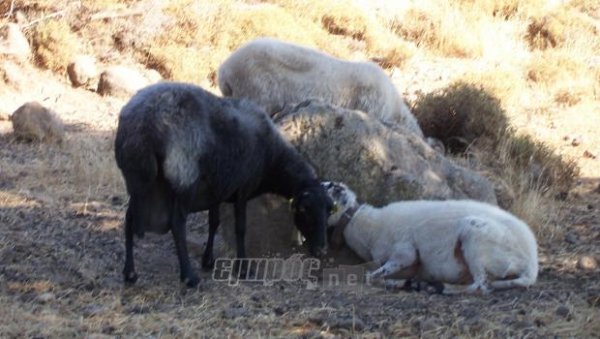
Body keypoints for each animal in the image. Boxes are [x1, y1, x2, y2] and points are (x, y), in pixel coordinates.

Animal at [115, 82, 336, 286]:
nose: (322, 250)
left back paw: (130, 272)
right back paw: (188, 276)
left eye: (328, 211)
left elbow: (214, 223)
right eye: (304, 210)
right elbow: (240, 228)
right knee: (176, 224)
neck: (272, 157)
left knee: (129, 218)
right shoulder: (242, 189)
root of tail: (146, 123)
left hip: (136, 179)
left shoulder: (216, 188)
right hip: (183, 176)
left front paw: (208, 260)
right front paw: (243, 268)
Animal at [324, 181, 540, 294]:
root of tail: (532, 263)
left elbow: (372, 276)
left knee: (479, 285)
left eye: (325, 185)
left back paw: (439, 287)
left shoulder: (405, 253)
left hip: (475, 238)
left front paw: (397, 283)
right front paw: (403, 282)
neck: (366, 224)